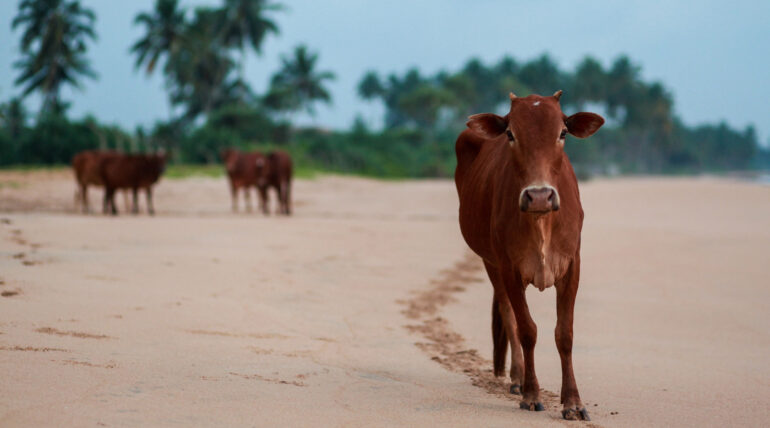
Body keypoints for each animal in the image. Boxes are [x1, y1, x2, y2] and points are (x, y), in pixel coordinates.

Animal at [450, 91, 608, 422]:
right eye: (511, 134)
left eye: (562, 133)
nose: (538, 196)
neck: (541, 221)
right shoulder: (509, 268)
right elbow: (526, 330)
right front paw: (531, 394)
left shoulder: (572, 266)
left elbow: (565, 334)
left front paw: (573, 402)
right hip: (490, 262)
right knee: (508, 315)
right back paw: (517, 378)